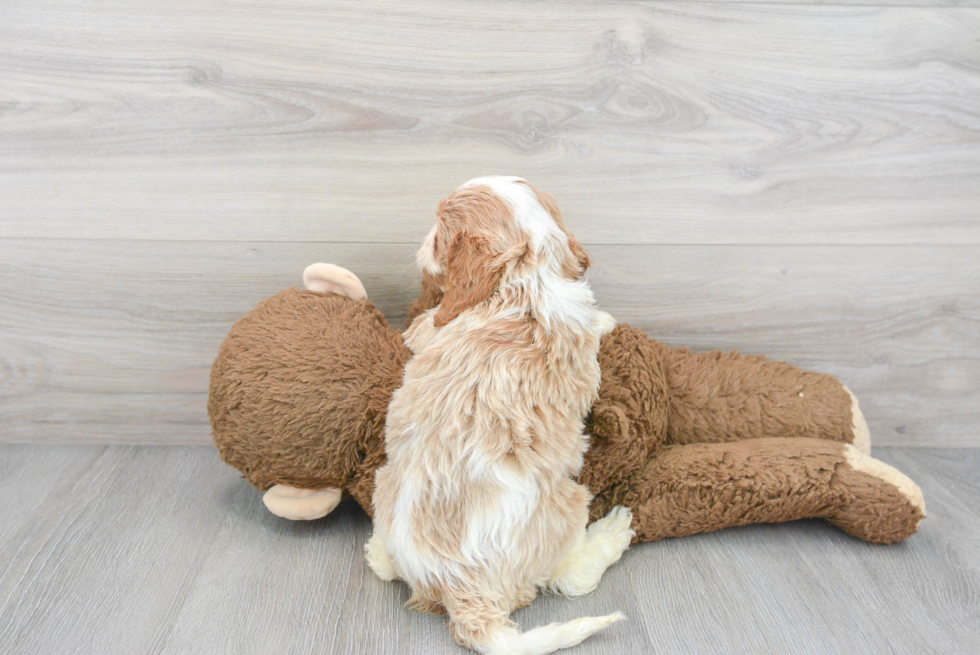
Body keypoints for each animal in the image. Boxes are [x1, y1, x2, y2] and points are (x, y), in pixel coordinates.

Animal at [368, 178, 636, 655]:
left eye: (437, 237)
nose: (419, 246)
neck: (526, 276)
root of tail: (458, 588)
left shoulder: (428, 332)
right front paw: (606, 320)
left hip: (384, 484)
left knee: (386, 567)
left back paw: (375, 550)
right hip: (567, 505)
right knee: (570, 577)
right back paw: (612, 533)